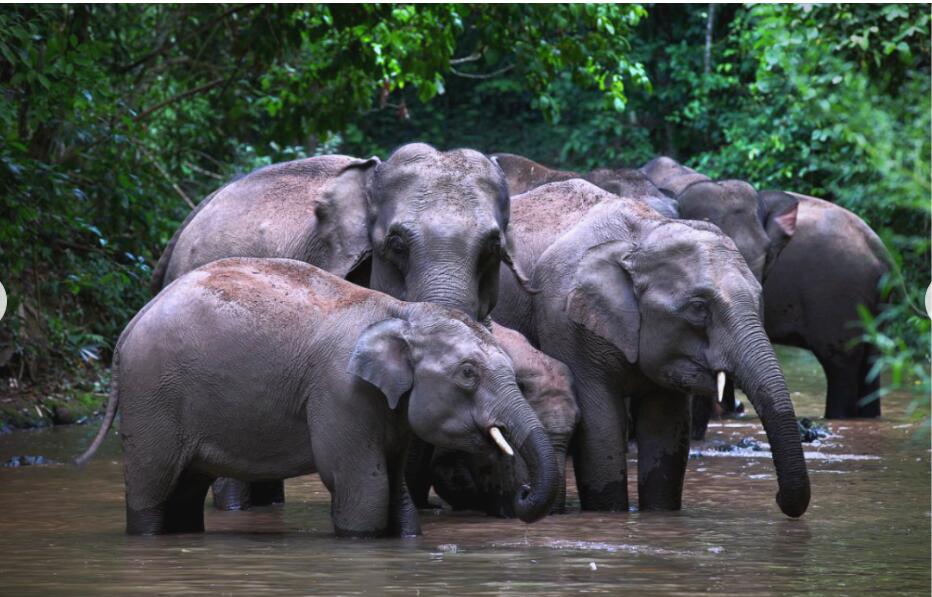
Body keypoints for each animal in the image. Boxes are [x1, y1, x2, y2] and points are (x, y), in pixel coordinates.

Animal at [75, 258, 559, 536]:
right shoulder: (339, 392)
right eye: (467, 374)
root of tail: (130, 324)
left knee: (185, 491)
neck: (402, 313)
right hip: (151, 396)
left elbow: (396, 488)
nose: (521, 492)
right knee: (154, 486)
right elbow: (363, 486)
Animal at [491, 179, 811, 518]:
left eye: (759, 298)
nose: (777, 497)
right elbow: (601, 425)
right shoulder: (564, 321)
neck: (641, 236)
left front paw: (659, 513)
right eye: (698, 308)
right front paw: (609, 513)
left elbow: (664, 429)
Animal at [641, 157, 891, 421]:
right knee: (869, 365)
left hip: (840, 299)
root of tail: (882, 253)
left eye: (768, 256)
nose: (736, 407)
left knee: (841, 366)